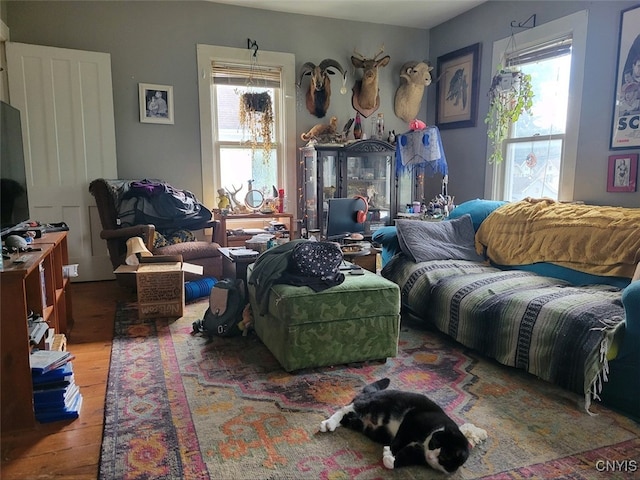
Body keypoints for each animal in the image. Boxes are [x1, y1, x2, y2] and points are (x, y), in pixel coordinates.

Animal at [320, 378, 484, 476]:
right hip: (373, 402)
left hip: (361, 424)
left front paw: (390, 460)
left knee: (349, 417)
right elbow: (400, 439)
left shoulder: (418, 456)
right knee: (347, 407)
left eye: (444, 457)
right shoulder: (412, 420)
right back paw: (329, 423)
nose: (431, 456)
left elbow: (404, 458)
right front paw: (389, 451)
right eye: (435, 443)